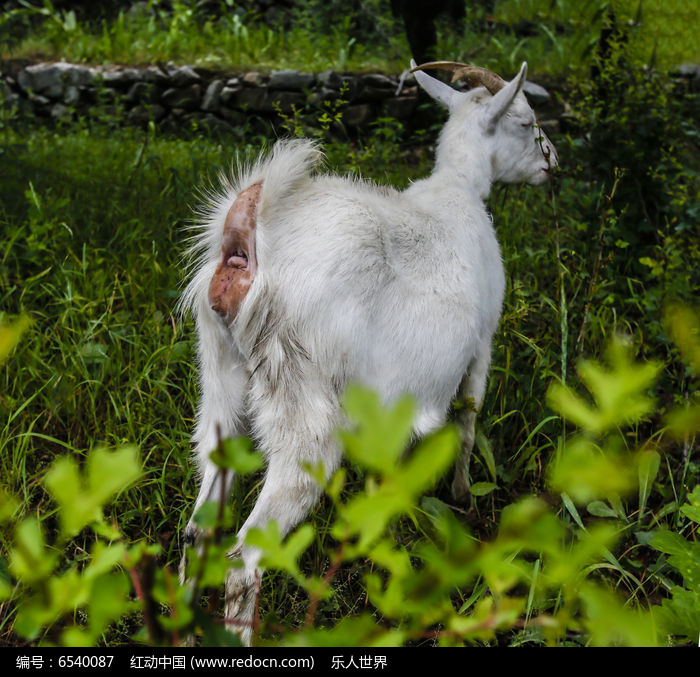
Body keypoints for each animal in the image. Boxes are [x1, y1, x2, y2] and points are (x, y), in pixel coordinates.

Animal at [179, 60, 556, 640]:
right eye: (525, 120)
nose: (551, 162)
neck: (456, 190)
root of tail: (244, 241)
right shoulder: (482, 343)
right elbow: (468, 423)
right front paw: (462, 498)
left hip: (219, 377)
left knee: (198, 529)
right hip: (302, 403)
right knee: (245, 558)